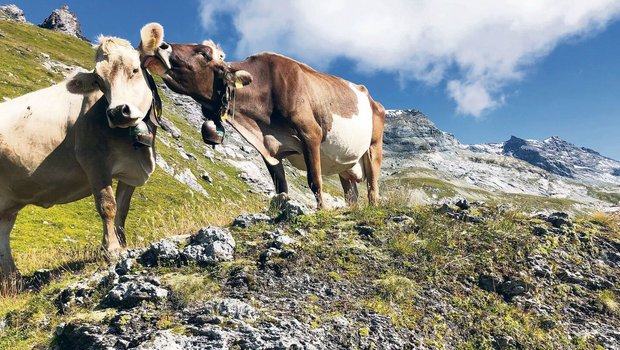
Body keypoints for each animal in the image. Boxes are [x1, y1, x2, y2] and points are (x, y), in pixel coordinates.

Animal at [0, 36, 162, 282]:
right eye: (100, 82)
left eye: (135, 70)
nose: (117, 112)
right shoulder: (94, 161)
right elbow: (107, 205)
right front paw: (111, 249)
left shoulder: (130, 171)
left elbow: (123, 210)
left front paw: (123, 245)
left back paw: (13, 279)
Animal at [139, 23, 388, 209]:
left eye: (203, 54)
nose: (161, 45)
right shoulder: (270, 148)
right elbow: (281, 190)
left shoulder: (311, 133)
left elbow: (315, 181)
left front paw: (322, 211)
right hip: (345, 165)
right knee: (352, 196)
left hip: (373, 147)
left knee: (372, 187)